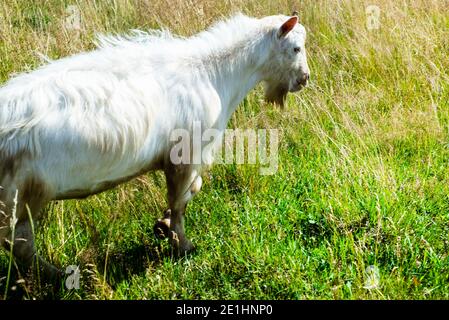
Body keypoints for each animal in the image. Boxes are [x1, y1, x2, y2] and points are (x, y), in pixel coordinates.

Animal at [0, 13, 308, 282]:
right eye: (296, 48)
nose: (304, 79)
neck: (214, 73)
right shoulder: (186, 155)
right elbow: (180, 200)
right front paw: (182, 244)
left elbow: (192, 190)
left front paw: (163, 224)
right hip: (20, 194)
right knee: (20, 243)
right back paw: (58, 275)